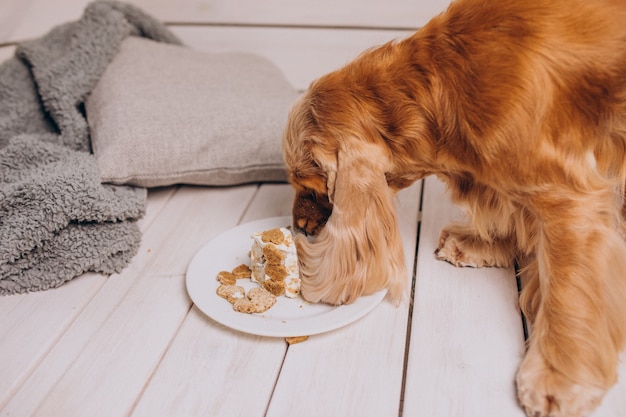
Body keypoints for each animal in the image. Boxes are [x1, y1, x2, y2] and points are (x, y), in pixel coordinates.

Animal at [280, 0, 624, 416]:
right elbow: (514, 215)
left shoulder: (567, 196)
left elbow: (568, 290)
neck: (437, 87)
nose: (298, 226)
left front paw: (557, 379)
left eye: (313, 187)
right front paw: (478, 244)